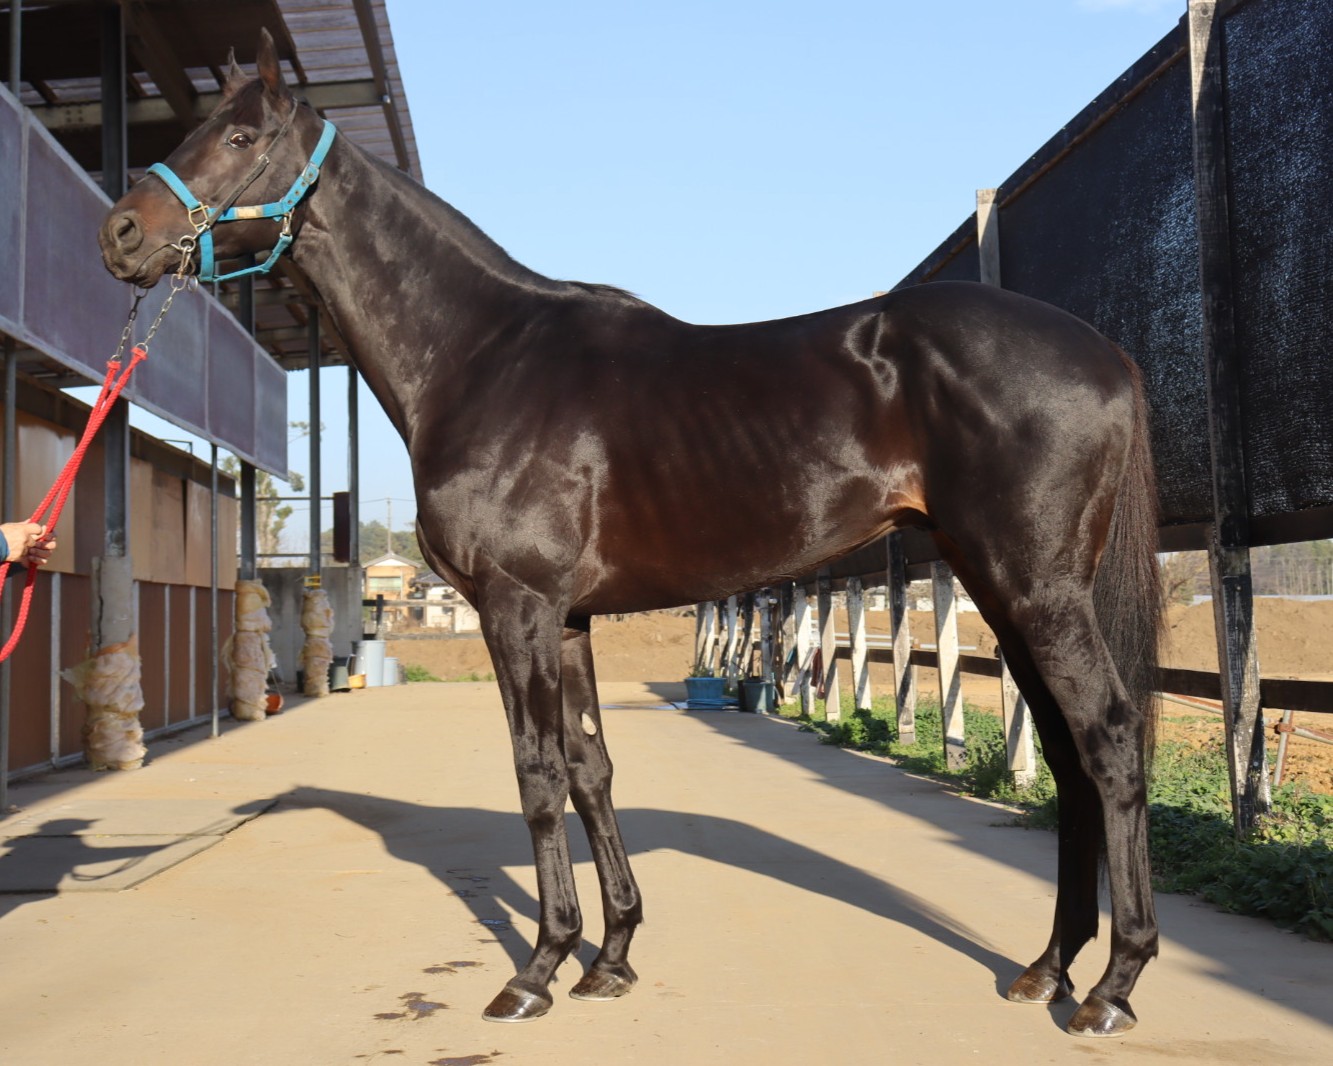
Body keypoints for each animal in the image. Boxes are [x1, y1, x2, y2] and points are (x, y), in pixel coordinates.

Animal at [99, 30, 1163, 1038]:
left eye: (240, 138)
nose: (119, 233)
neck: (482, 357)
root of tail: (1105, 354)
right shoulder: (567, 620)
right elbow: (589, 768)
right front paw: (608, 956)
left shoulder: (516, 609)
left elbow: (535, 773)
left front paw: (536, 969)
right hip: (998, 587)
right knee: (1067, 754)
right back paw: (1048, 969)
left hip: (1035, 588)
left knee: (1109, 739)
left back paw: (1114, 986)